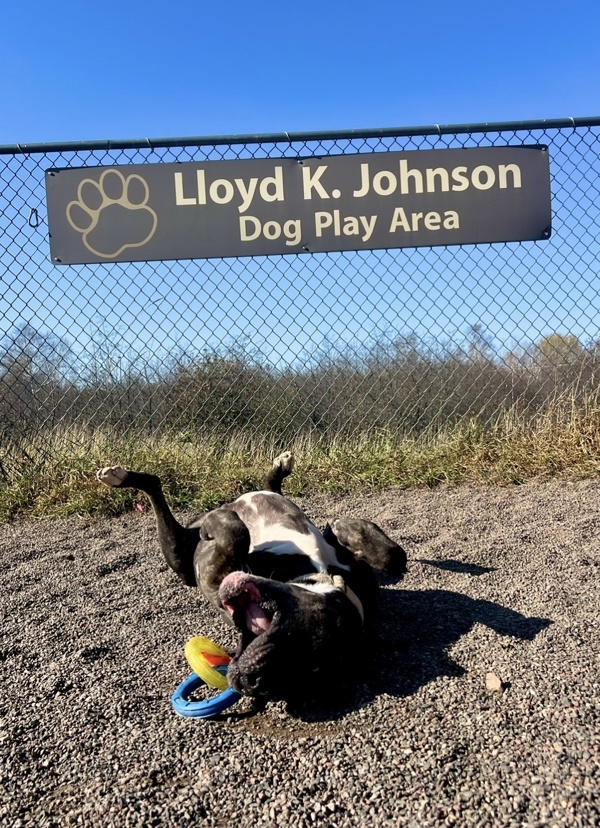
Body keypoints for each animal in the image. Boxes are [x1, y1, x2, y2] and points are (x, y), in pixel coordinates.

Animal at [97, 452, 408, 700]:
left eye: (307, 668)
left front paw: (219, 522)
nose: (251, 684)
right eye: (305, 637)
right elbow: (394, 556)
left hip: (178, 557)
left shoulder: (214, 581)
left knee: (157, 491)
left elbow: (235, 534)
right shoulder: (361, 575)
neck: (314, 573)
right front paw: (346, 529)